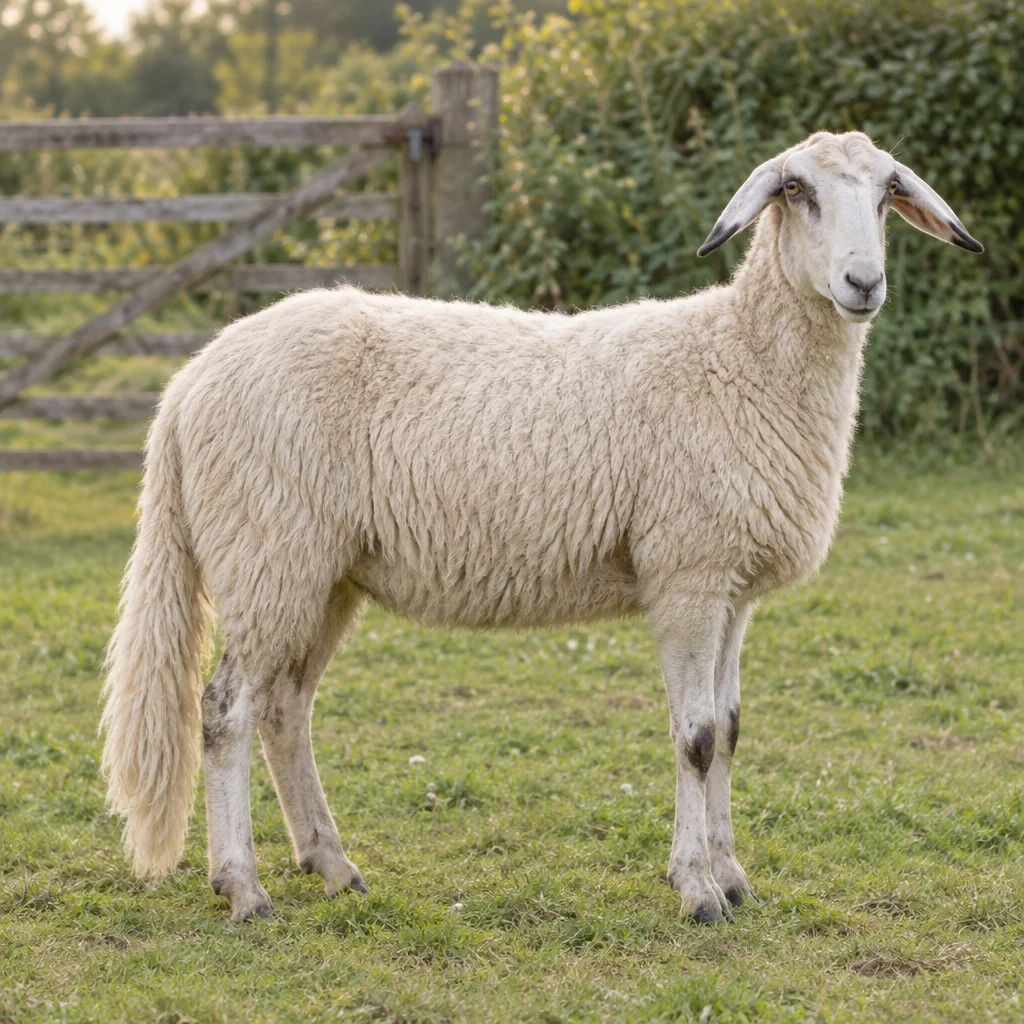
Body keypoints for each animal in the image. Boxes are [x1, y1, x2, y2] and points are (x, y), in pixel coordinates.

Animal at [100, 131, 983, 924]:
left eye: (886, 194)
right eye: (797, 191)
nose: (863, 281)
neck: (738, 357)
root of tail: (189, 383)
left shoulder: (734, 587)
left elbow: (730, 732)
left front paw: (731, 877)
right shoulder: (687, 574)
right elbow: (695, 737)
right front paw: (698, 891)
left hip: (321, 571)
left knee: (284, 708)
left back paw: (332, 866)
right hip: (268, 553)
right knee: (225, 711)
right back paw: (243, 888)